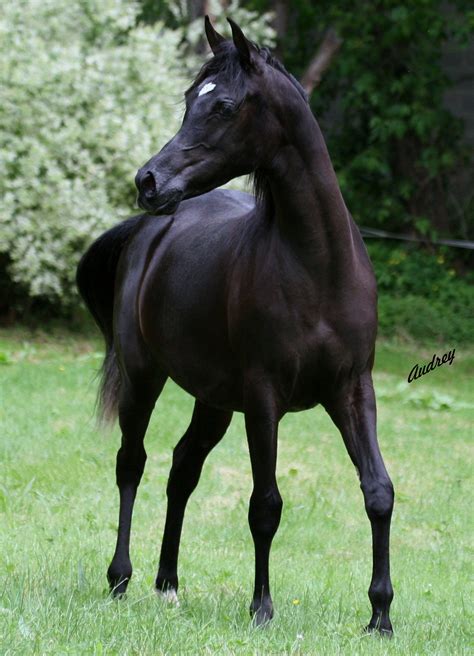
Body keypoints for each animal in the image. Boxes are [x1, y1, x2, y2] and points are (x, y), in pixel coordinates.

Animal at [77, 16, 395, 634]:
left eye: (222, 105)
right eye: (187, 100)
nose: (148, 181)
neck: (317, 266)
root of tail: (147, 232)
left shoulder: (352, 390)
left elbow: (378, 492)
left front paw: (380, 615)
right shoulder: (264, 398)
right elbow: (265, 504)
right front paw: (262, 608)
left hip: (214, 401)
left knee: (182, 468)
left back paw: (168, 585)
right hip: (144, 378)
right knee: (133, 463)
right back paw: (121, 579)